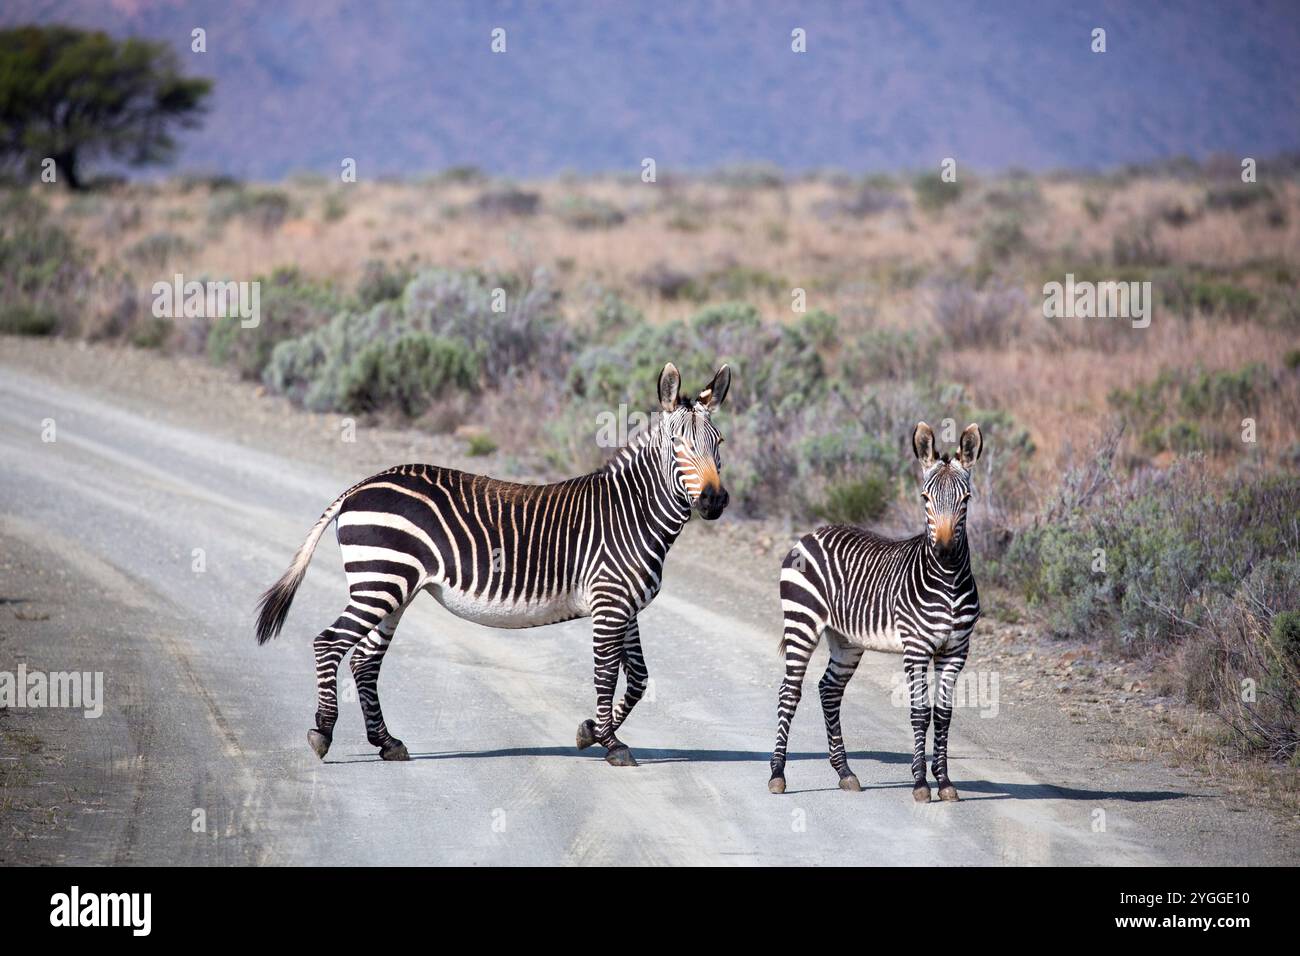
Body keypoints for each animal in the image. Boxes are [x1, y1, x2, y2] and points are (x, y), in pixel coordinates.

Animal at [255, 362, 731, 768]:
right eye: (678, 444)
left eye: (719, 444)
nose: (714, 501)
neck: (634, 513)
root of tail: (360, 486)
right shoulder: (609, 604)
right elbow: (605, 675)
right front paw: (610, 744)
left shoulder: (625, 609)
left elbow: (638, 680)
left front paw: (590, 732)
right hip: (380, 581)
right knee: (329, 643)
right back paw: (322, 733)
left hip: (393, 589)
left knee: (364, 660)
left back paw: (387, 743)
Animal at [768, 421, 983, 802]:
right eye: (925, 498)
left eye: (966, 500)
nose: (944, 552)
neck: (948, 583)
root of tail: (811, 533)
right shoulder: (916, 648)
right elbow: (919, 713)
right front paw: (920, 783)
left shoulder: (956, 651)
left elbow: (943, 715)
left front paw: (944, 782)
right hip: (802, 622)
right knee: (789, 691)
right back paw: (778, 774)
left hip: (846, 639)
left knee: (829, 689)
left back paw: (844, 772)